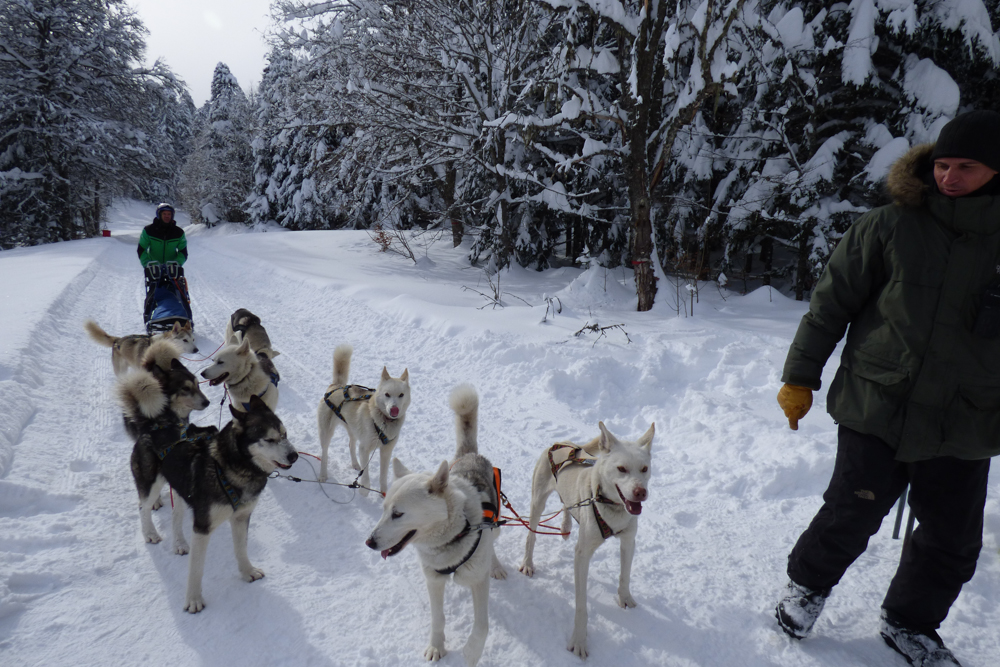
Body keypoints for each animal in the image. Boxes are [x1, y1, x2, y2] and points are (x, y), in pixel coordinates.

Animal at [117, 340, 211, 548]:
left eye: (197, 385)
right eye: (185, 389)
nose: (207, 402)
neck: (165, 415)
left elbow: (178, 513)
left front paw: (180, 542)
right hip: (150, 478)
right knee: (143, 507)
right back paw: (150, 532)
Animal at [157, 396, 296, 616]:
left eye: (285, 434)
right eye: (269, 439)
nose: (294, 456)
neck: (231, 468)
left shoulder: (241, 517)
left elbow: (241, 548)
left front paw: (248, 572)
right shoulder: (202, 526)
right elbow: (196, 568)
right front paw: (194, 600)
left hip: (180, 488)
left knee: (176, 515)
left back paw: (179, 543)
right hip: (150, 484)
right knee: (144, 509)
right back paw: (150, 533)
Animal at [322, 344, 412, 496]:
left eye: (401, 395)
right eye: (387, 394)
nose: (394, 409)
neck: (384, 422)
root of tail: (337, 385)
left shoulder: (386, 452)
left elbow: (383, 476)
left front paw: (384, 493)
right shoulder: (364, 449)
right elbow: (366, 477)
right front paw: (363, 491)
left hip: (353, 430)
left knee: (351, 445)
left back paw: (355, 464)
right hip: (327, 432)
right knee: (324, 452)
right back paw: (322, 475)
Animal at [366, 384, 504, 664]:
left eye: (398, 514)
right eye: (384, 510)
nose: (369, 542)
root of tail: (469, 455)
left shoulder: (477, 580)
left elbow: (482, 626)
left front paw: (471, 652)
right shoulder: (433, 579)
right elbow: (438, 618)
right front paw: (436, 646)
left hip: (494, 529)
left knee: (492, 546)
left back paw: (495, 565)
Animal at [520, 422, 652, 656]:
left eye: (644, 469)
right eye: (621, 469)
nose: (640, 492)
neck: (608, 503)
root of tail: (562, 443)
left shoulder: (628, 542)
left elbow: (625, 575)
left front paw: (625, 598)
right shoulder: (582, 555)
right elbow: (581, 605)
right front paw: (579, 640)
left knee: (566, 504)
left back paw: (565, 526)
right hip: (537, 503)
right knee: (531, 536)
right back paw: (528, 562)